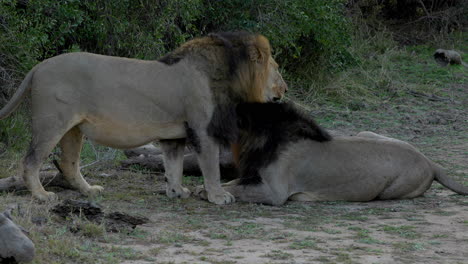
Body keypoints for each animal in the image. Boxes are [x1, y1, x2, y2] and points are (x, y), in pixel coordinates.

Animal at [0, 31, 288, 204]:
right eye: (276, 69)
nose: (285, 89)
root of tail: (38, 67)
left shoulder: (175, 135)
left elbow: (173, 166)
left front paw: (176, 191)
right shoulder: (203, 130)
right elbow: (211, 167)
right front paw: (218, 196)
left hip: (74, 129)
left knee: (69, 164)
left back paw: (89, 191)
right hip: (51, 124)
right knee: (30, 161)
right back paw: (41, 195)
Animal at [197, 102, 468, 204]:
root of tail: (430, 161)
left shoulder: (275, 192)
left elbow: (239, 189)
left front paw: (209, 193)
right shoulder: (254, 177)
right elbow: (232, 183)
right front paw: (210, 190)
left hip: (389, 191)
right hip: (365, 132)